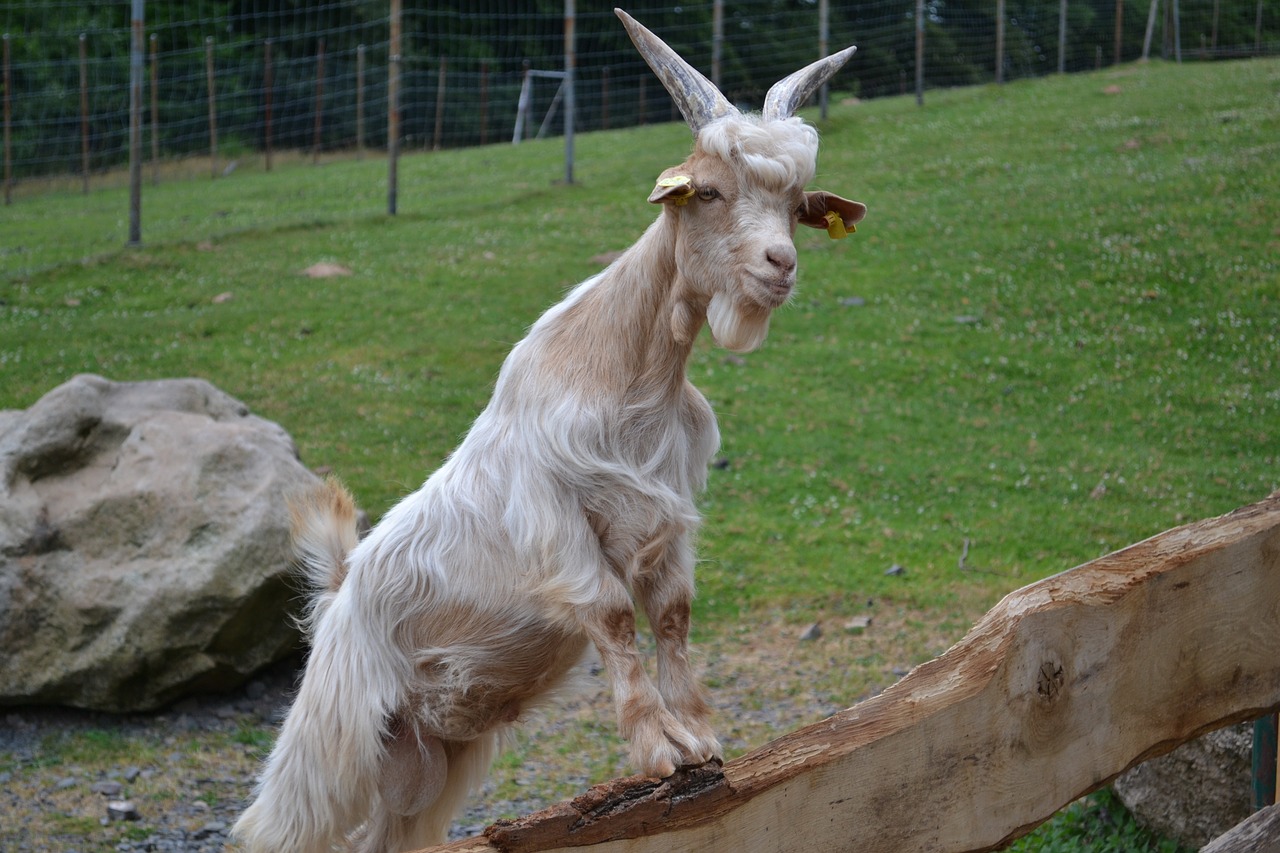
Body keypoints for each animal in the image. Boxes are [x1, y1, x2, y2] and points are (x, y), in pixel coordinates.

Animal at [234, 11, 865, 850]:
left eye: (797, 203)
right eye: (708, 192)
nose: (779, 265)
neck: (631, 374)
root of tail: (341, 588)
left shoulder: (668, 518)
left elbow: (671, 615)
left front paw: (699, 736)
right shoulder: (554, 512)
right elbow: (610, 612)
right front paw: (660, 748)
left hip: (428, 760)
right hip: (330, 741)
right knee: (275, 823)